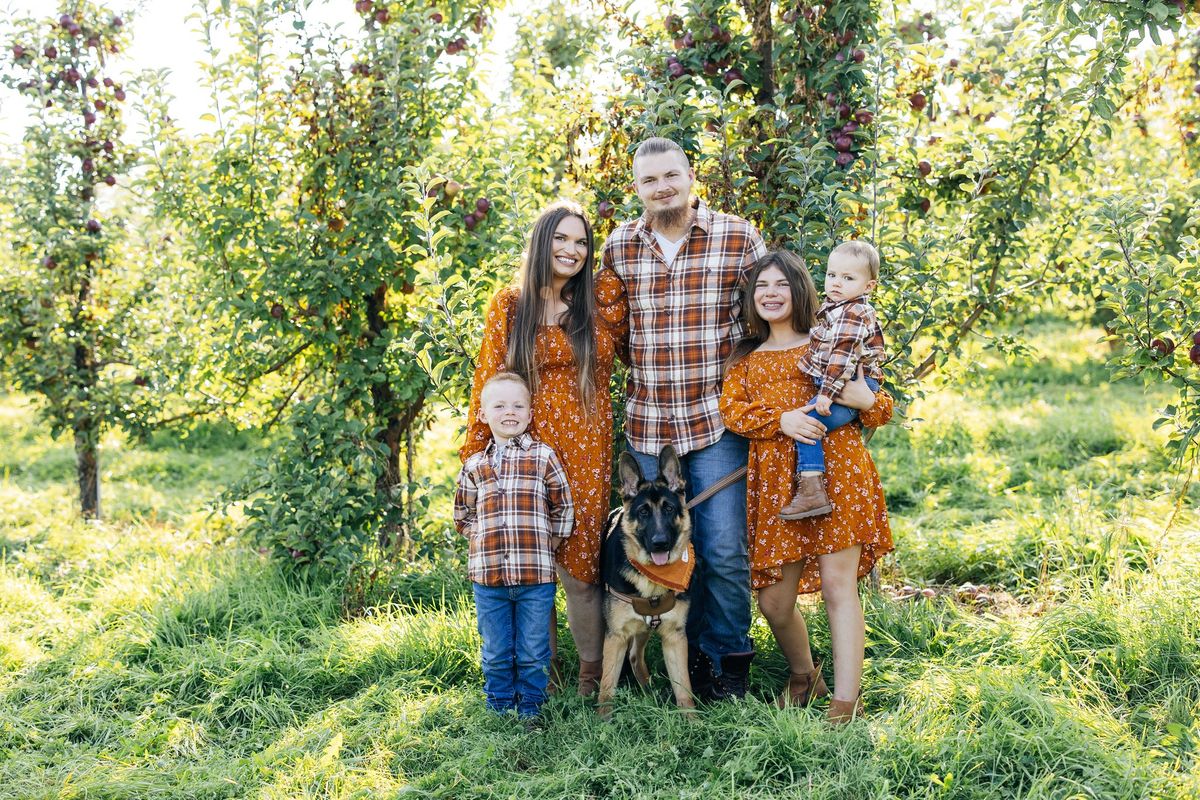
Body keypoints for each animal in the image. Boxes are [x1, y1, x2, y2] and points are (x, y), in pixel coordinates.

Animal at [597, 448, 696, 714]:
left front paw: (693, 720)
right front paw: (602, 719)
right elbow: (606, 688)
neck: (651, 578)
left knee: (635, 656)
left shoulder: (675, 638)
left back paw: (649, 691)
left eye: (669, 509)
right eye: (643, 512)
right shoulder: (616, 637)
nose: (660, 543)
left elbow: (684, 690)